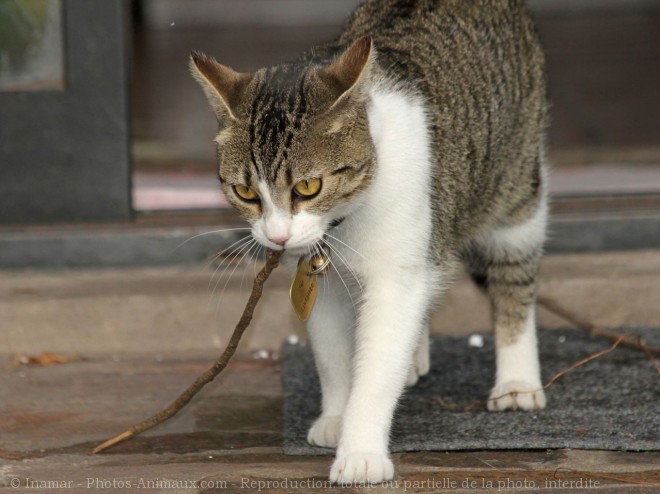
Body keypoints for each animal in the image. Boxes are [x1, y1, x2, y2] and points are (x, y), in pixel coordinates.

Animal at [189, 0, 548, 484]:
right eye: (245, 192)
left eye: (308, 187)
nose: (278, 236)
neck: (341, 227)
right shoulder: (322, 283)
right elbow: (333, 356)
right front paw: (336, 418)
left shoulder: (395, 279)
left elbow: (376, 368)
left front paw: (359, 450)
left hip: (515, 191)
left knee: (514, 278)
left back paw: (516, 380)